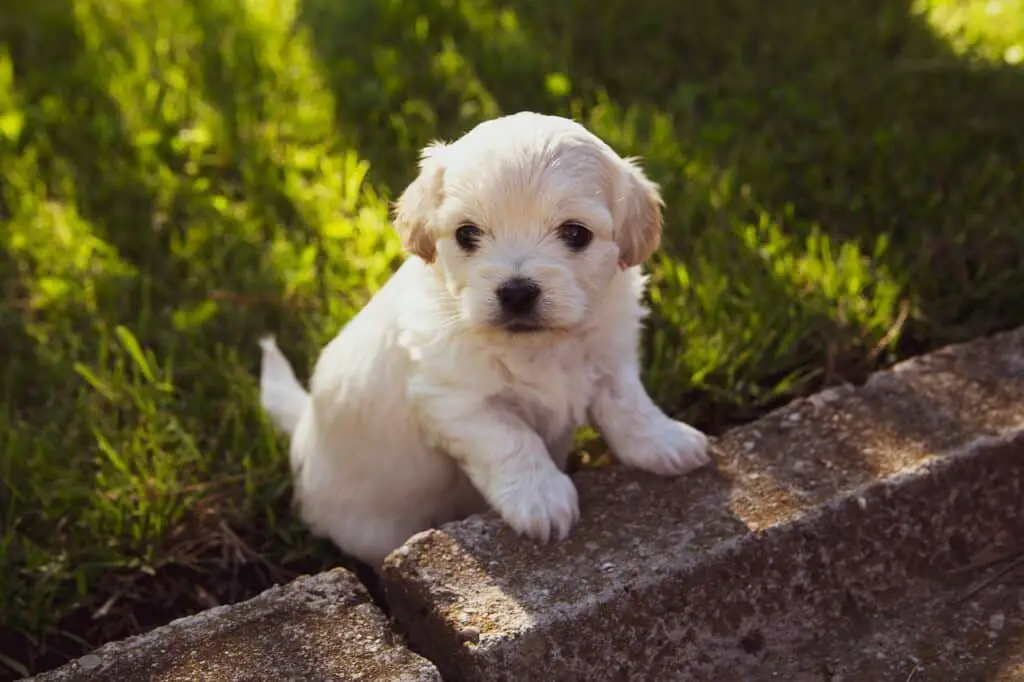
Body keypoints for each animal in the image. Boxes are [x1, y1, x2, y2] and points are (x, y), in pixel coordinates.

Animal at [260, 111, 712, 569]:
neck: (538, 345)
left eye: (575, 233)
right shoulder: (457, 401)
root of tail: (303, 430)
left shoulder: (609, 359)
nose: (516, 292)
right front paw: (542, 499)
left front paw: (665, 441)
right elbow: (512, 439)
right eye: (467, 234)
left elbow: (629, 406)